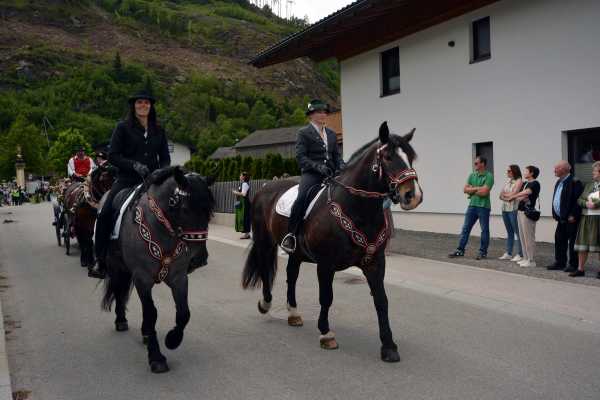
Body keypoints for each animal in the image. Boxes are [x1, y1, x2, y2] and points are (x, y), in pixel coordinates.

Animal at [102, 166, 214, 372]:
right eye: (185, 209)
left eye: (209, 211)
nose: (199, 259)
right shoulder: (142, 278)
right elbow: (151, 313)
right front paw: (156, 357)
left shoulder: (179, 278)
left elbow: (184, 313)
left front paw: (172, 340)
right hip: (116, 266)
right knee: (119, 290)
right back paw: (121, 320)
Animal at [243, 122, 422, 362]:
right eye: (387, 156)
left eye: (410, 157)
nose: (413, 196)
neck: (356, 208)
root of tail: (264, 188)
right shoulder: (325, 265)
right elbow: (326, 297)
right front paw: (326, 333)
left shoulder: (375, 263)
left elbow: (381, 301)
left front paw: (389, 346)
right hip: (265, 243)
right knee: (265, 269)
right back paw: (266, 303)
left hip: (296, 253)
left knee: (292, 276)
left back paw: (293, 313)